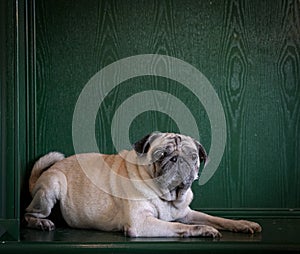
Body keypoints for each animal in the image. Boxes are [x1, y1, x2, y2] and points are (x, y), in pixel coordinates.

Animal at [24, 132, 262, 237]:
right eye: (162, 154)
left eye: (192, 156)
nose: (177, 159)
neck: (168, 196)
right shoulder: (141, 223)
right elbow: (180, 227)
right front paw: (203, 230)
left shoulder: (186, 212)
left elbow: (216, 218)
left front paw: (242, 224)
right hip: (52, 186)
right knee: (29, 214)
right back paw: (41, 223)